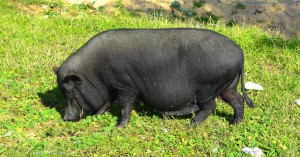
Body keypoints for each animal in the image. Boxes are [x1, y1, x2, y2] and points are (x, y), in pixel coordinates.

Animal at [53, 28, 253, 128]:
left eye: (71, 92)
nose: (66, 118)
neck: (94, 72)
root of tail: (241, 56)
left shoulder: (125, 85)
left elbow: (125, 105)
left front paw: (119, 127)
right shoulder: (112, 88)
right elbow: (107, 101)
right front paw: (98, 115)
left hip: (208, 87)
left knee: (211, 106)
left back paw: (191, 125)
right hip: (228, 85)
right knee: (237, 100)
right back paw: (234, 124)